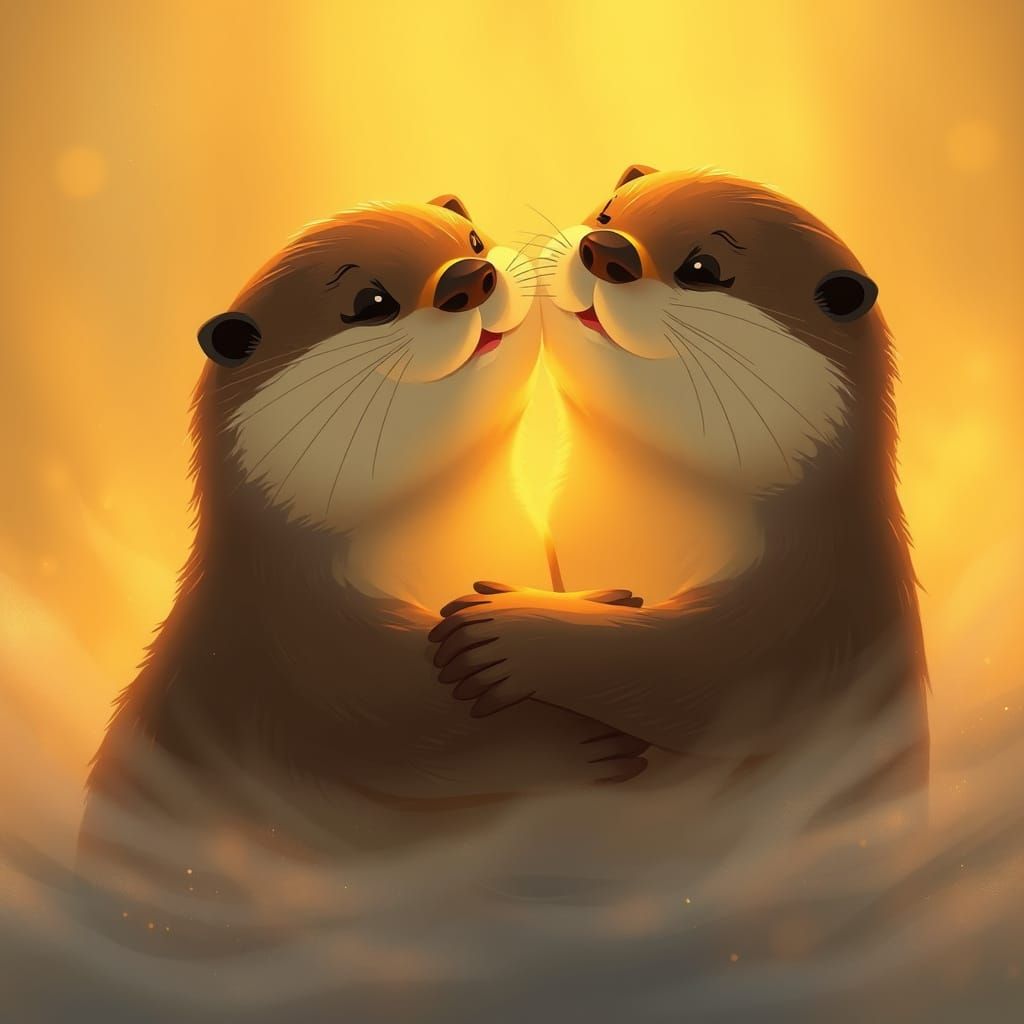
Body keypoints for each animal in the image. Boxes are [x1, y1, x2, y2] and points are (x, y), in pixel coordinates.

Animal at [81, 195, 649, 862]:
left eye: (472, 239)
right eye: (372, 301)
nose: (468, 278)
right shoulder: (305, 663)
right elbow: (405, 745)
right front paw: (580, 739)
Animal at [431, 169, 929, 805]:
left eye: (703, 267)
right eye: (608, 212)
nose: (607, 250)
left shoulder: (811, 606)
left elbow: (690, 674)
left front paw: (510, 628)